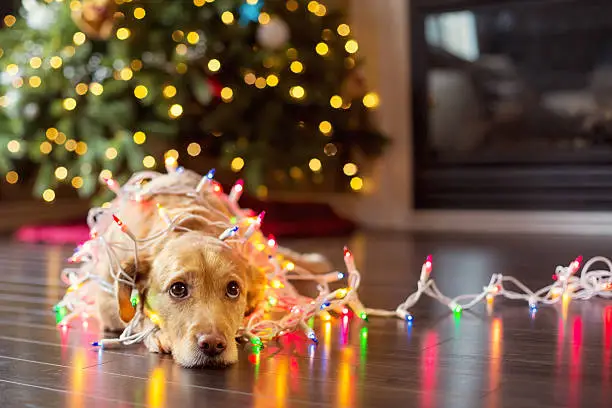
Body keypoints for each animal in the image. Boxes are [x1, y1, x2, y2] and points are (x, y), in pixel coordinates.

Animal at [94, 171, 332, 368]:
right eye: (177, 289)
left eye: (233, 289)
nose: (212, 344)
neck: (188, 226)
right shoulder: (105, 300)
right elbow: (135, 315)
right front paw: (156, 332)